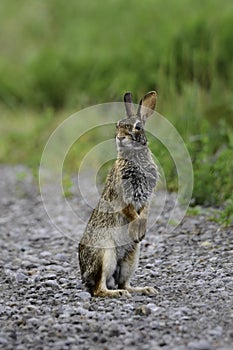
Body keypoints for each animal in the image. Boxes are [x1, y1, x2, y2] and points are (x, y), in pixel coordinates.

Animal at [79, 91, 159, 296]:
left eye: (138, 127)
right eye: (117, 125)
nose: (121, 137)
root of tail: (85, 277)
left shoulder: (147, 195)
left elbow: (144, 212)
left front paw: (141, 232)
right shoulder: (121, 196)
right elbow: (132, 213)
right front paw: (136, 230)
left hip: (131, 259)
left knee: (124, 282)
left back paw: (145, 289)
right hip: (105, 255)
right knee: (99, 289)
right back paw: (117, 293)